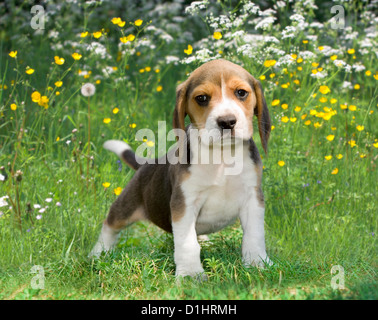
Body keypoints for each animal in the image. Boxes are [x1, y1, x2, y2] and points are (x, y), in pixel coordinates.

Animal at [89, 59, 270, 278]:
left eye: (241, 93)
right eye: (202, 98)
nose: (227, 121)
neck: (222, 157)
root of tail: (146, 164)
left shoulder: (253, 198)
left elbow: (254, 235)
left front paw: (257, 264)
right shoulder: (183, 203)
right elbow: (187, 243)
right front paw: (191, 274)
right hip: (126, 206)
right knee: (110, 225)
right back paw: (97, 253)